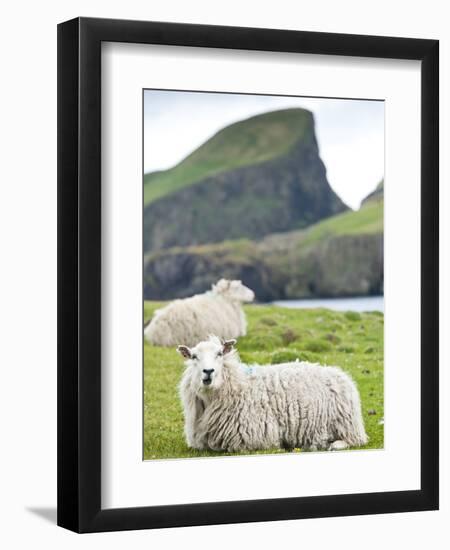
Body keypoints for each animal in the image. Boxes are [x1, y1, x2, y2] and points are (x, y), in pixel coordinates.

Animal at [178, 338, 368, 454]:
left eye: (219, 354)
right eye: (194, 356)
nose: (208, 371)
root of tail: (340, 373)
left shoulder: (256, 438)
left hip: (346, 424)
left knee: (354, 441)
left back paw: (332, 445)